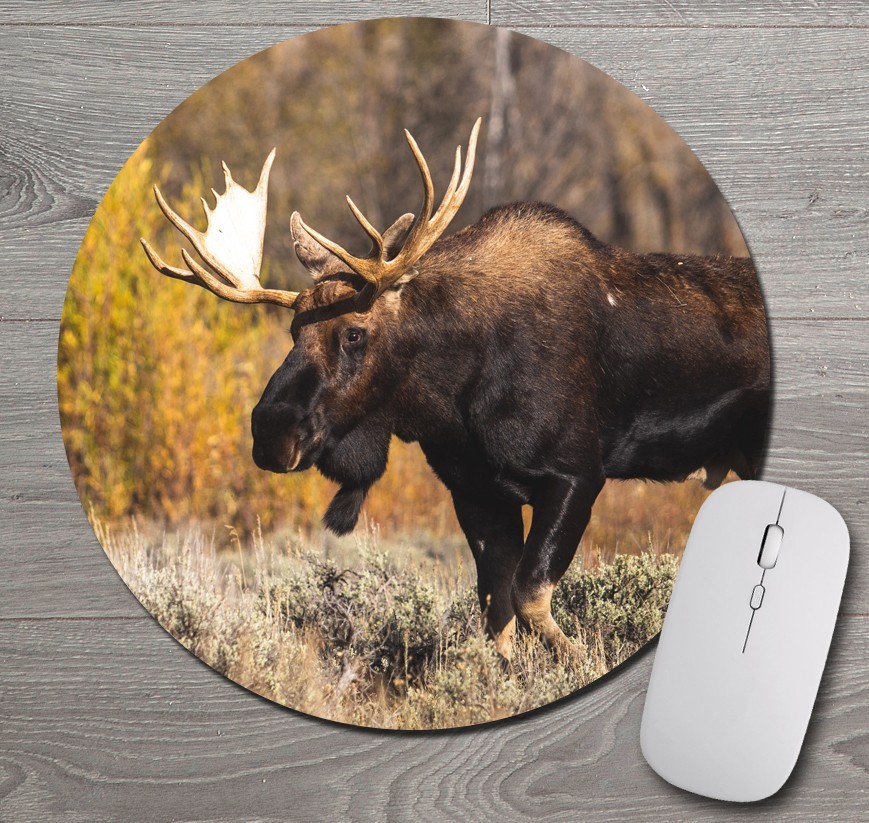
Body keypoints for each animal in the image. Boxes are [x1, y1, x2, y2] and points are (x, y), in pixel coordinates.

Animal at [141, 118, 770, 661]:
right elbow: (497, 610)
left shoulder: (575, 474)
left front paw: (575, 658)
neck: (454, 398)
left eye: (353, 331)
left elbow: (530, 596)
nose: (271, 432)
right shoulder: (473, 489)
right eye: (294, 330)